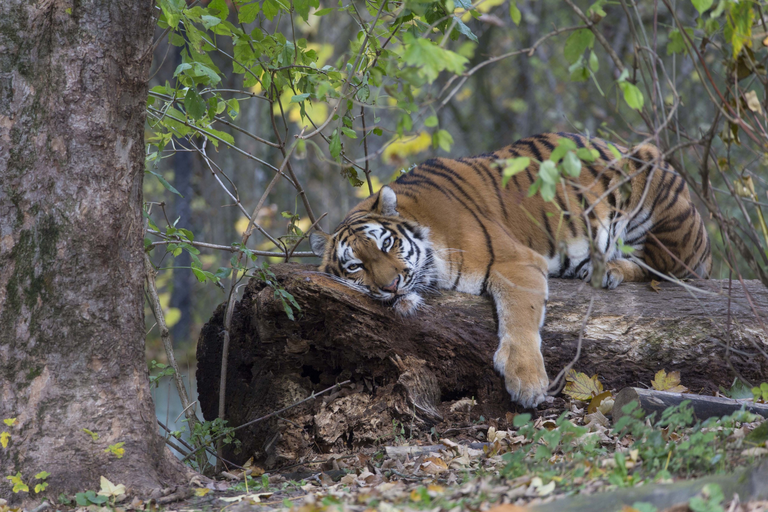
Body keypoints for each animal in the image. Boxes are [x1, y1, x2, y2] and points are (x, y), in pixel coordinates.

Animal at [309, 132, 711, 408]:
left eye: (386, 245)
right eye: (356, 266)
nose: (391, 286)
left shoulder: (515, 261)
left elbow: (520, 317)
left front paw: (527, 383)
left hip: (659, 197)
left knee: (665, 269)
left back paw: (609, 269)